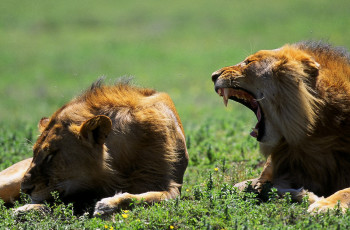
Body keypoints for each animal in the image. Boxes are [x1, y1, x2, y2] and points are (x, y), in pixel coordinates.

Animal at [0, 80, 189, 217]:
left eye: (51, 155)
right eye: (34, 154)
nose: (25, 189)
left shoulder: (173, 186)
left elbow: (142, 198)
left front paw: (108, 204)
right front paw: (29, 208)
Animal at [212, 40, 350, 213]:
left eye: (249, 62)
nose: (213, 76)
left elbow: (346, 191)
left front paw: (326, 205)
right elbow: (260, 186)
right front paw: (305, 194)